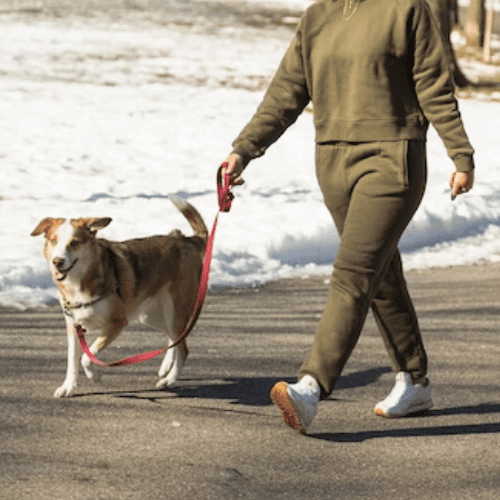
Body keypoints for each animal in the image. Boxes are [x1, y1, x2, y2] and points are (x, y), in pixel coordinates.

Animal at [31, 199, 207, 398]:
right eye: (53, 241)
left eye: (74, 243)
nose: (57, 262)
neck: (80, 281)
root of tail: (187, 241)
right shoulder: (73, 326)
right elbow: (72, 360)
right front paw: (68, 387)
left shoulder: (117, 323)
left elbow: (86, 358)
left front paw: (94, 377)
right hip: (152, 316)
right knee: (175, 340)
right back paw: (165, 367)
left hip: (175, 312)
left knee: (183, 349)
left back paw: (169, 380)